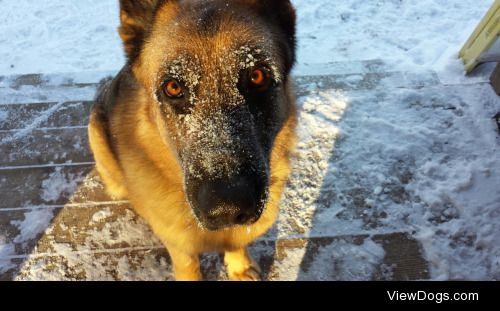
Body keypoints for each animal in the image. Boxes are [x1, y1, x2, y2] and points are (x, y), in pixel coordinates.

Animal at [88, 0, 296, 282]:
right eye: (173, 87)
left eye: (257, 76)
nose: (227, 208)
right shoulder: (178, 243)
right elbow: (187, 264)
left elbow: (236, 242)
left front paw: (239, 265)